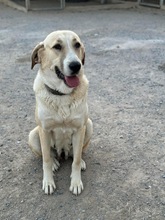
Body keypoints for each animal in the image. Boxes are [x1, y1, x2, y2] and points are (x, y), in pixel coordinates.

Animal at [28, 30, 93, 195]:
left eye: (77, 45)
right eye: (57, 46)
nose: (76, 65)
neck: (62, 95)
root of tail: (62, 152)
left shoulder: (80, 128)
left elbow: (76, 160)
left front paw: (76, 182)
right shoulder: (44, 130)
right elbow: (45, 159)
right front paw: (48, 181)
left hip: (89, 125)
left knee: (75, 153)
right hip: (33, 134)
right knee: (49, 154)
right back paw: (54, 162)